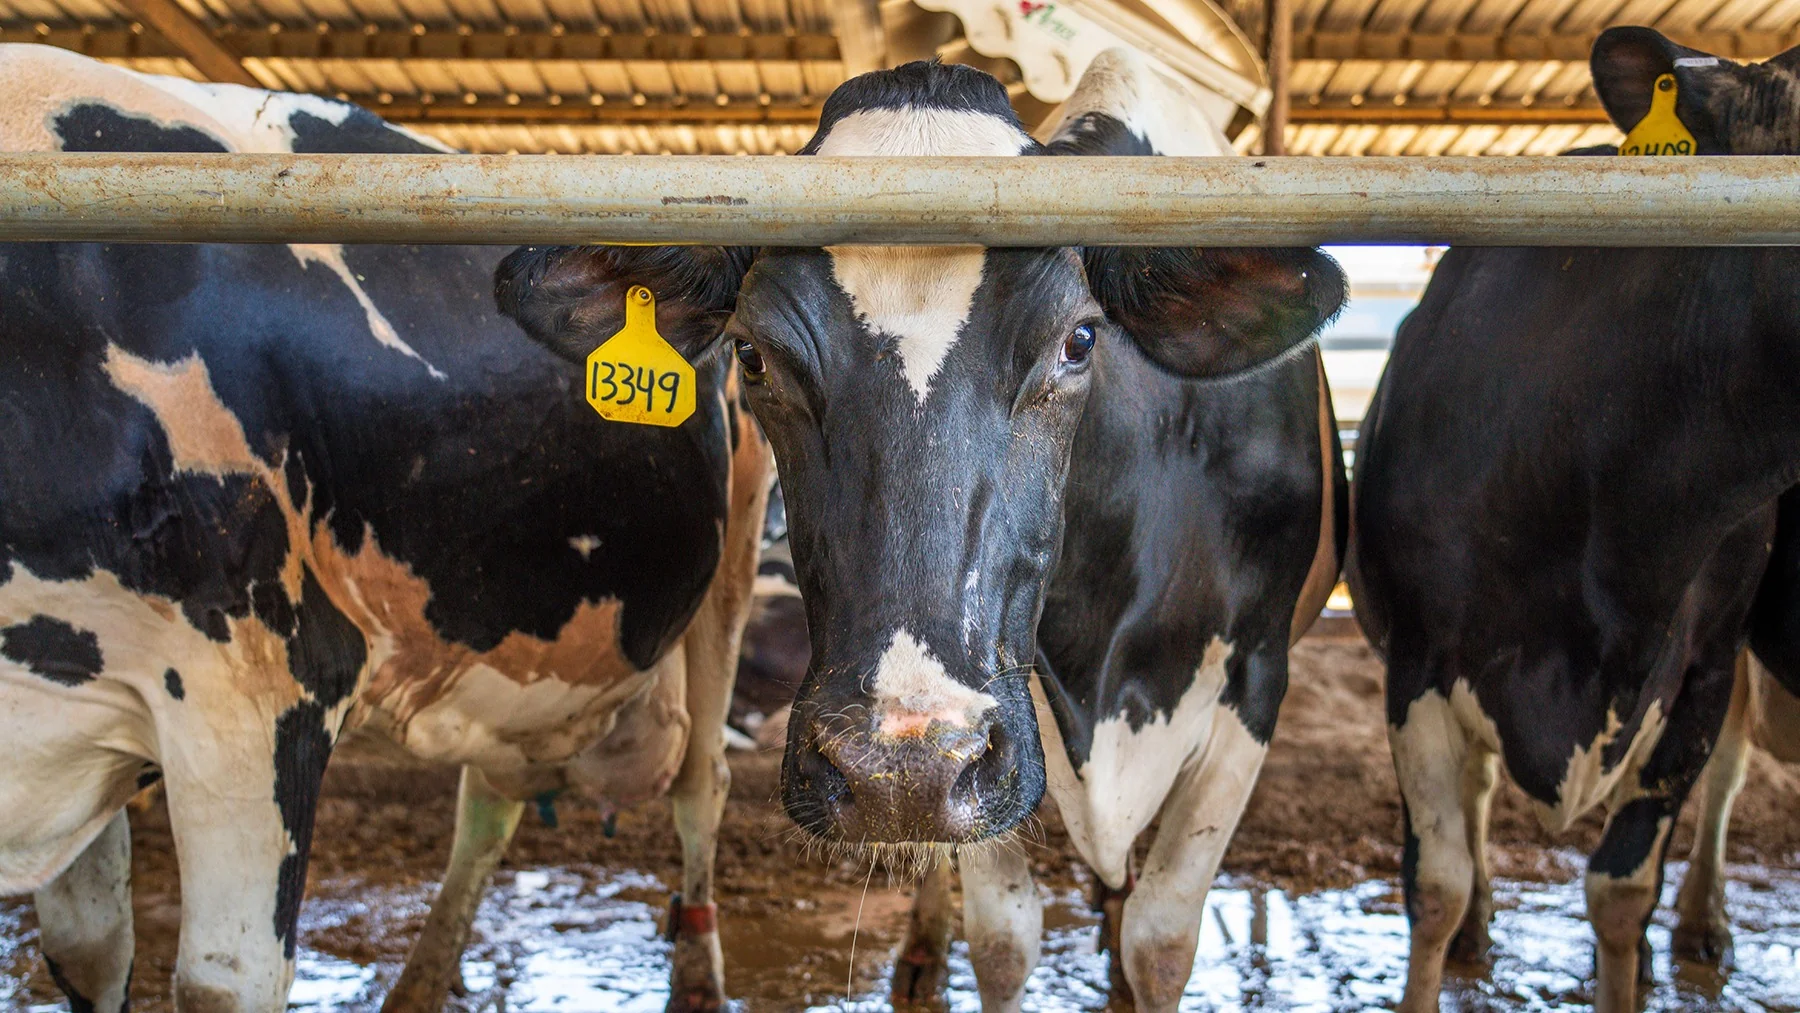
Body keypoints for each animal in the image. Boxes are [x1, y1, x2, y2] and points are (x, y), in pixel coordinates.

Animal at [0, 45, 769, 1013]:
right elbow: (89, 948)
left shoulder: (262, 682)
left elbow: (224, 979)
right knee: (490, 798)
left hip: (734, 563)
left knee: (703, 784)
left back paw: (699, 976)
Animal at [509, 50, 1347, 1010]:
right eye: (753, 354)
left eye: (1079, 340)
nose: (897, 769)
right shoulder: (1008, 730)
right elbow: (1005, 936)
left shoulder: (1255, 679)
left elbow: (1163, 936)